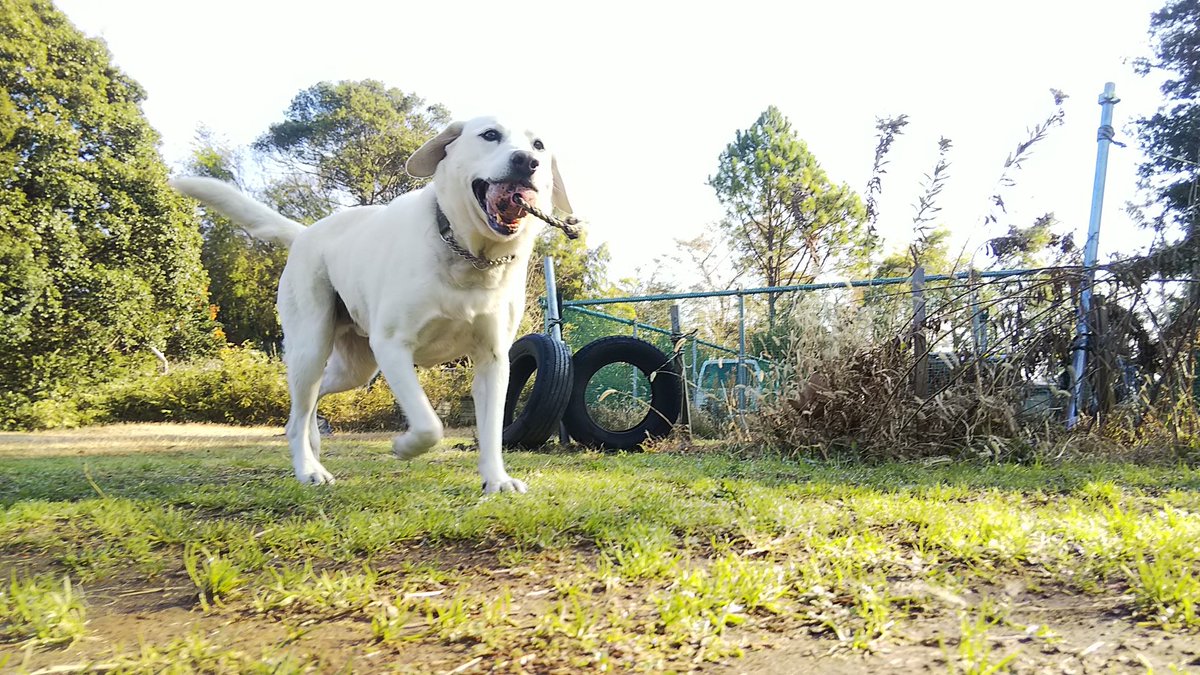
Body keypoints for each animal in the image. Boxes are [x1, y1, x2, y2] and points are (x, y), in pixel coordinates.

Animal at [170, 115, 576, 492]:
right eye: (490, 135)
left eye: (538, 145)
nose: (526, 161)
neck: (469, 259)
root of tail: (304, 233)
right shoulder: (393, 346)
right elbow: (429, 425)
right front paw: (405, 447)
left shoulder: (493, 359)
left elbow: (491, 430)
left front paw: (497, 480)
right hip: (312, 347)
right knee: (299, 410)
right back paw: (308, 468)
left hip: (355, 368)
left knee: (311, 401)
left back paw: (313, 442)